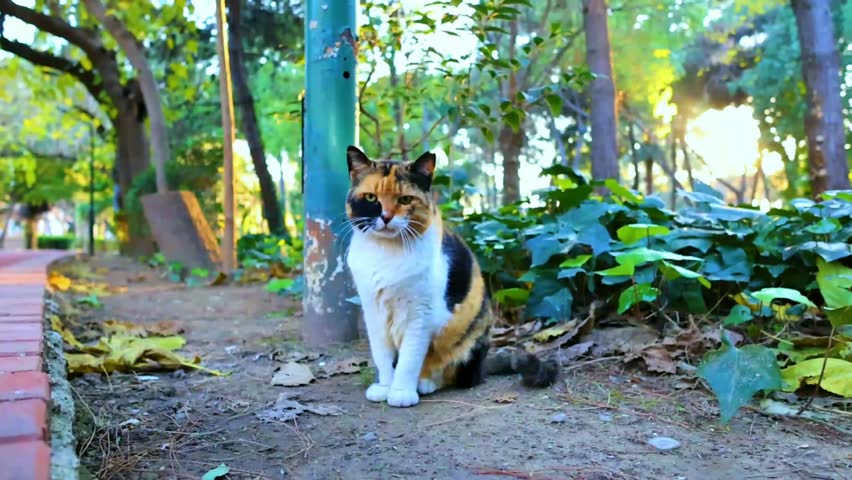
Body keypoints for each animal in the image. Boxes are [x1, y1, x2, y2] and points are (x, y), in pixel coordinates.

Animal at [346, 144, 560, 406]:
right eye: (371, 198)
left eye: (405, 199)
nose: (386, 217)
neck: (386, 254)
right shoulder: (373, 312)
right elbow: (382, 355)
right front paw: (386, 387)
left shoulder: (421, 315)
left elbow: (409, 359)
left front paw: (401, 391)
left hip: (471, 337)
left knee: (459, 375)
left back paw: (426, 383)